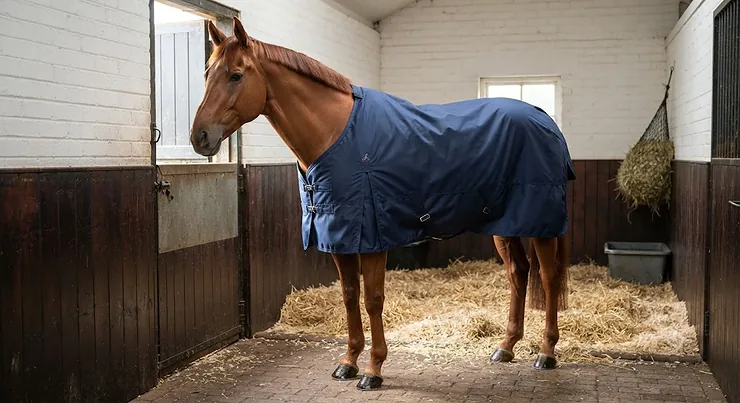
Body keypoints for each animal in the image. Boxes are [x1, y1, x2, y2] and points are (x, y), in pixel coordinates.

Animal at [190, 16, 574, 391]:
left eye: (236, 75)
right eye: (207, 74)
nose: (199, 137)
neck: (336, 134)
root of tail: (543, 118)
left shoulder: (372, 237)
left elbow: (373, 299)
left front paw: (373, 369)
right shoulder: (339, 238)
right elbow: (349, 296)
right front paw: (348, 362)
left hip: (540, 223)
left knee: (548, 277)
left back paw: (546, 352)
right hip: (505, 224)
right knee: (518, 273)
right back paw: (506, 347)